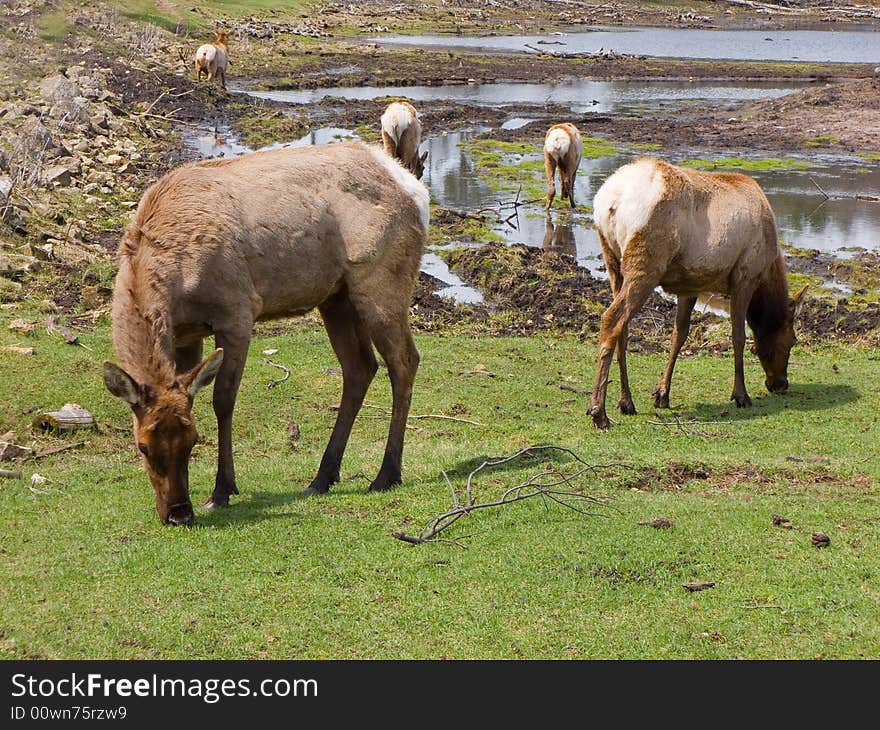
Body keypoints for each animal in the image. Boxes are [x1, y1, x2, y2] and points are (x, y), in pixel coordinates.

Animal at [101, 139, 428, 520]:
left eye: (193, 439)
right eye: (142, 446)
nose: (179, 512)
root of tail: (415, 189)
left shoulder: (237, 312)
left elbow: (223, 400)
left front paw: (223, 490)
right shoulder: (185, 334)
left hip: (381, 281)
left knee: (404, 361)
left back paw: (386, 474)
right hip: (336, 297)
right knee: (360, 367)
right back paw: (322, 476)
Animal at [588, 154, 808, 426]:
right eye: (792, 340)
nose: (781, 383)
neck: (767, 272)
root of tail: (610, 201)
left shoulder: (690, 284)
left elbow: (678, 335)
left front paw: (662, 393)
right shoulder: (745, 276)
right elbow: (738, 336)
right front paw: (741, 395)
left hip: (612, 261)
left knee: (623, 328)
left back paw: (626, 402)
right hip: (646, 263)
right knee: (611, 319)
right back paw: (599, 412)